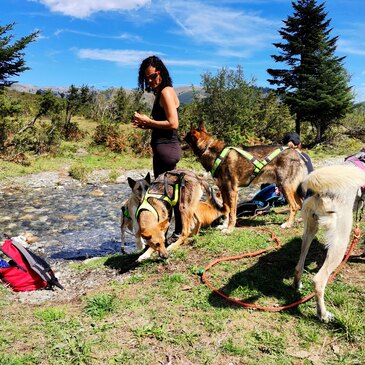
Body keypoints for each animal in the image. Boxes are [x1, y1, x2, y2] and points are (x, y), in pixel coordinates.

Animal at [292, 165, 364, 322]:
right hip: (340, 242)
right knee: (319, 280)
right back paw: (323, 315)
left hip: (310, 229)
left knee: (299, 266)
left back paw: (296, 285)